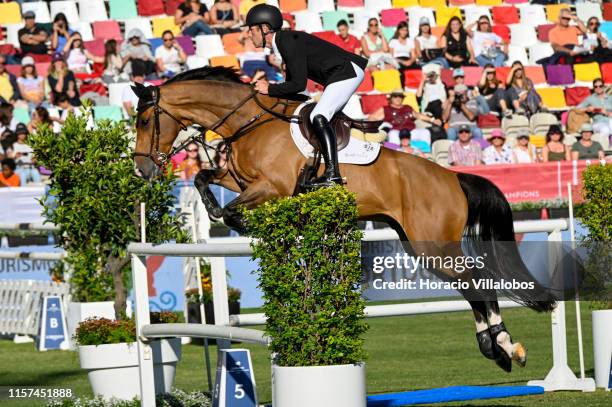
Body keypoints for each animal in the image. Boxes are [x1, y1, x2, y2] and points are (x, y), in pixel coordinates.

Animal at [133, 66, 556, 372]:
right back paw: (495, 348)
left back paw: (504, 346)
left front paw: (241, 222)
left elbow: (234, 208)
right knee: (469, 282)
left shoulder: (272, 186)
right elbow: (204, 178)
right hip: (419, 245)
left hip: (432, 243)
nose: (142, 170)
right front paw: (216, 209)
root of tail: (452, 177)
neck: (248, 122)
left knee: (474, 277)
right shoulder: (239, 180)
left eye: (144, 122)